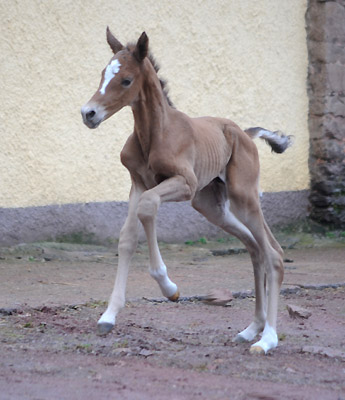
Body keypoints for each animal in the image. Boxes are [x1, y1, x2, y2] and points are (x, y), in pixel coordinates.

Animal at [80, 28, 290, 354]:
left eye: (126, 79)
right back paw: (251, 329)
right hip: (211, 206)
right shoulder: (138, 183)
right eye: (103, 73)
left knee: (274, 254)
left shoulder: (183, 184)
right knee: (255, 248)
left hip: (243, 197)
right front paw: (109, 315)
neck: (155, 133)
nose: (88, 113)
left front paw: (169, 287)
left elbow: (148, 207)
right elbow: (127, 238)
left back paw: (267, 338)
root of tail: (245, 133)